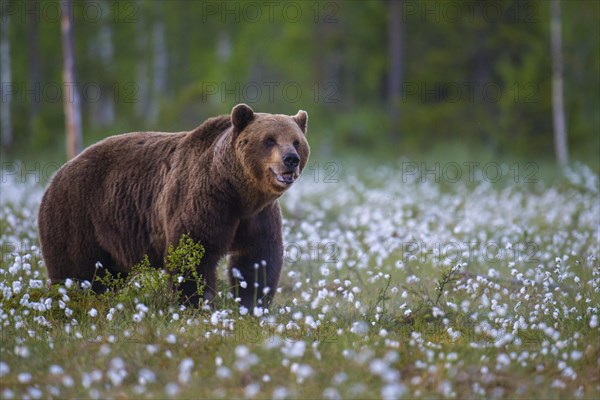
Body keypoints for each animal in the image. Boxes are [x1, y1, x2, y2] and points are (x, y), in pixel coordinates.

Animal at [38, 104, 310, 310]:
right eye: (269, 140)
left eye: (296, 141)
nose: (290, 159)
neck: (238, 191)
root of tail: (57, 174)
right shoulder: (204, 200)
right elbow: (193, 252)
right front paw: (194, 304)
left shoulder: (258, 215)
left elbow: (257, 258)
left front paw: (252, 305)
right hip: (78, 214)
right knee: (74, 270)